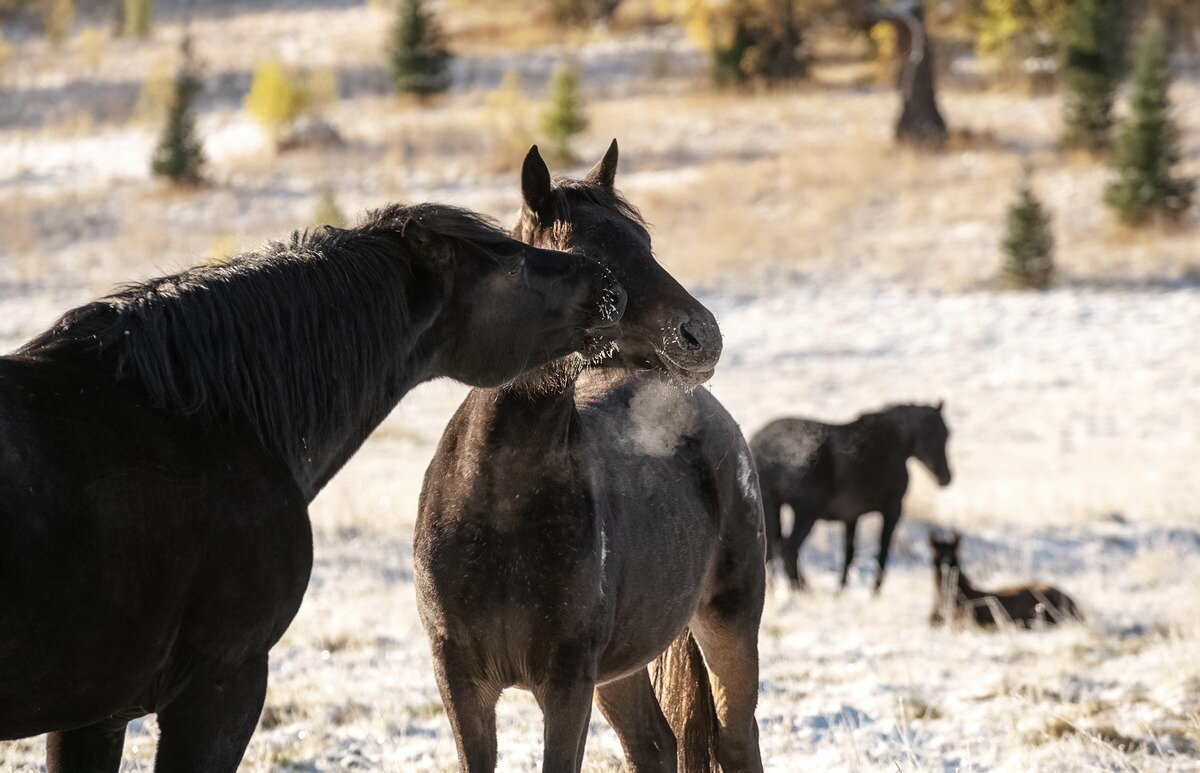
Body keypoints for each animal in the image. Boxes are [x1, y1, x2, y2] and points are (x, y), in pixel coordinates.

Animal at [417, 141, 763, 768]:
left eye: (645, 241)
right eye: (592, 255)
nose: (702, 336)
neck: (500, 505)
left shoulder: (567, 680)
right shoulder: (460, 681)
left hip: (729, 624)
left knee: (735, 740)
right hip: (620, 672)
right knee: (654, 745)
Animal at [748, 400, 955, 588]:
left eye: (946, 434)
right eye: (936, 433)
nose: (946, 478)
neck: (893, 443)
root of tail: (760, 445)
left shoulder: (851, 516)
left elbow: (849, 553)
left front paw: (841, 589)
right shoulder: (892, 509)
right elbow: (882, 551)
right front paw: (874, 591)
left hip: (772, 507)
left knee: (771, 550)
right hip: (805, 511)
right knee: (788, 548)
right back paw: (803, 589)